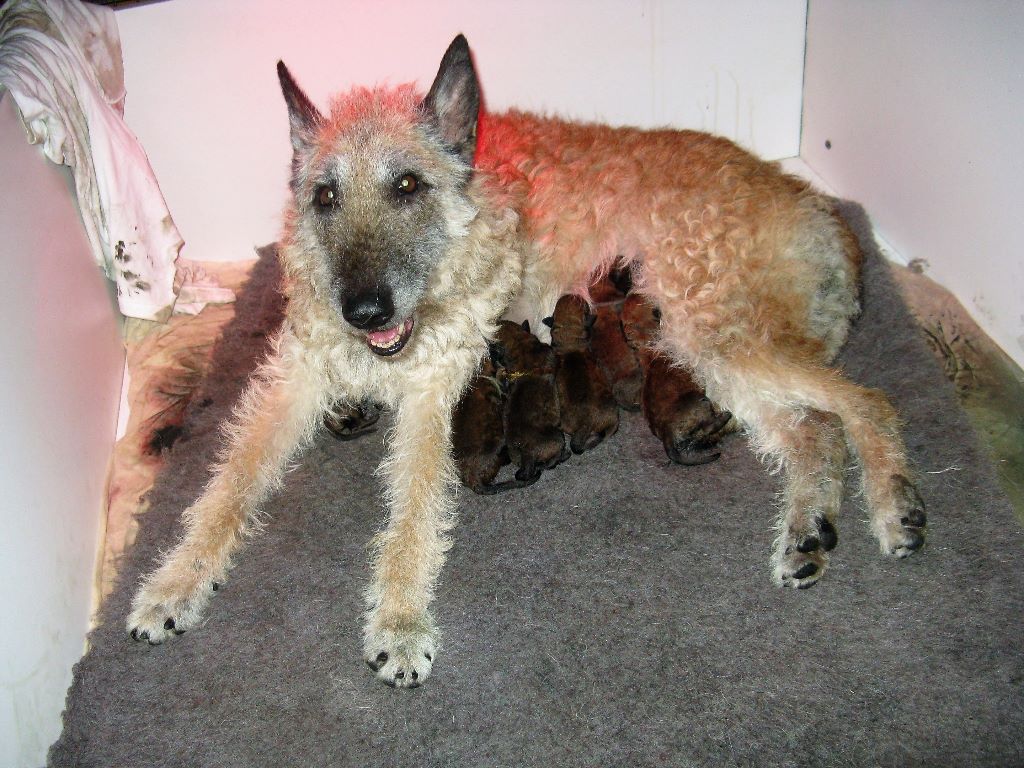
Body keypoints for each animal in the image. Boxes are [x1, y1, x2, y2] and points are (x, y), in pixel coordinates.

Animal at [614, 292, 737, 462]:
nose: (633, 291)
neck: (645, 337)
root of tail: (667, 432)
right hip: (702, 401)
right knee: (708, 426)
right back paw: (725, 416)